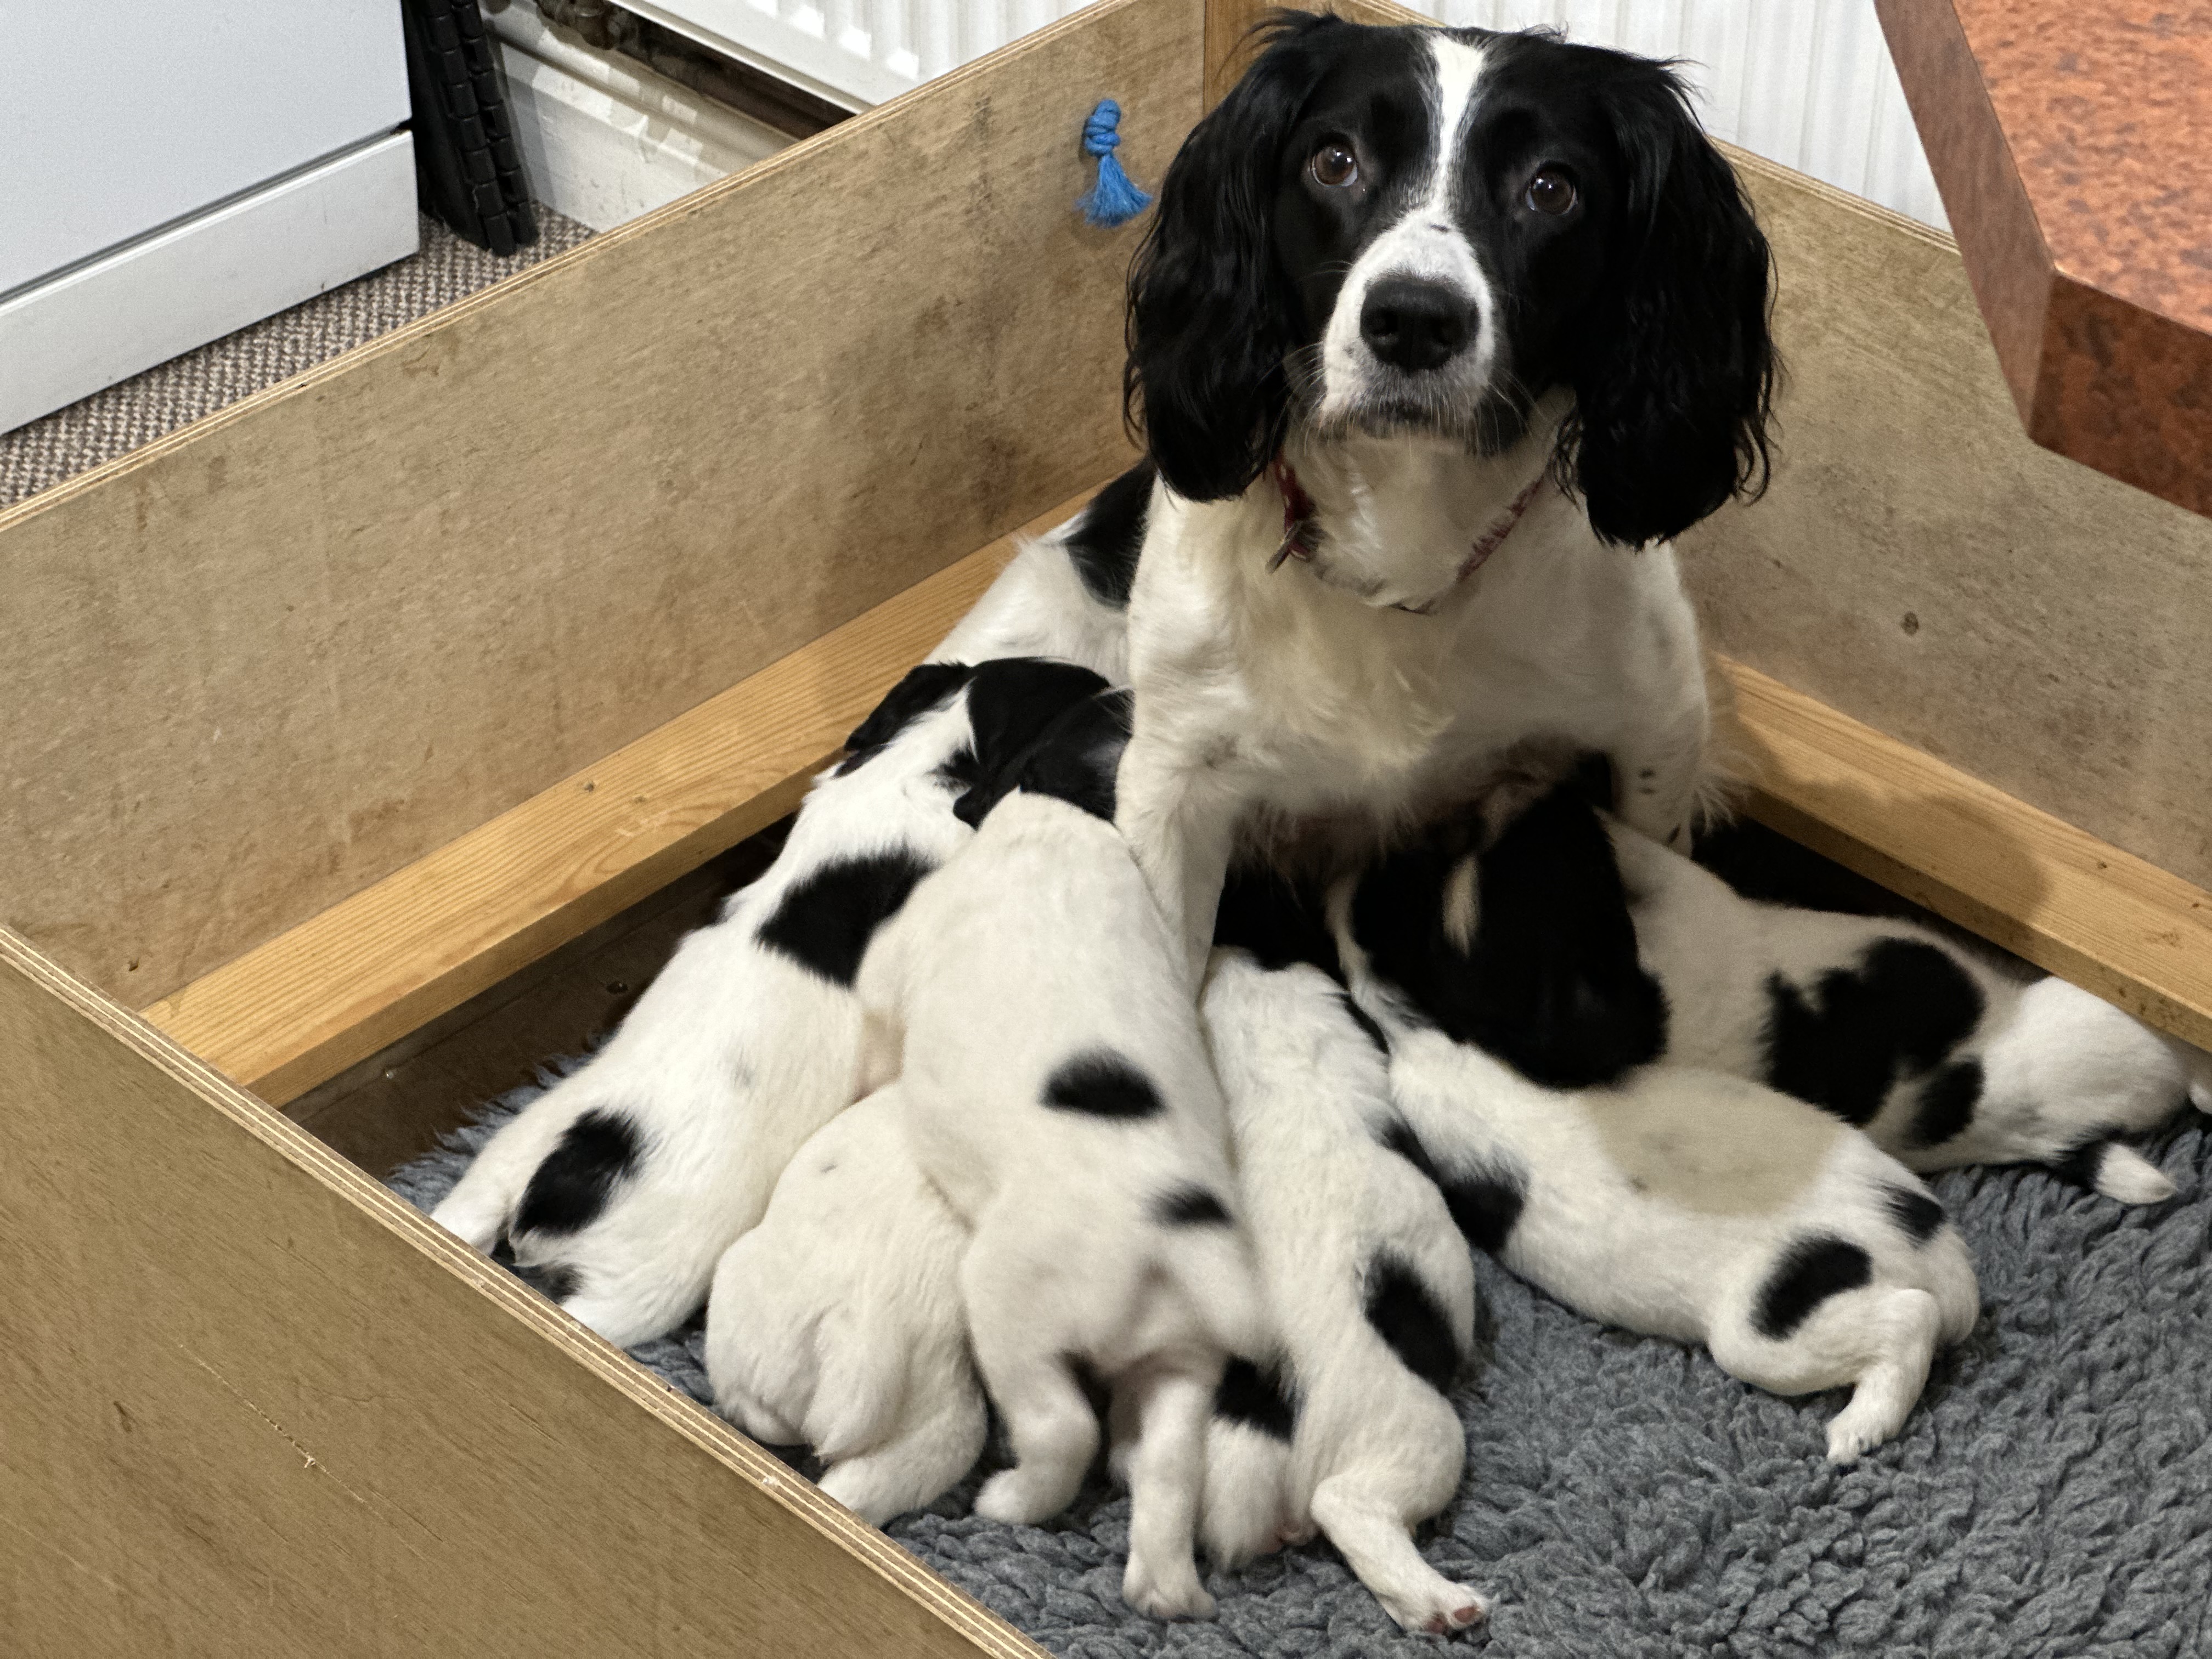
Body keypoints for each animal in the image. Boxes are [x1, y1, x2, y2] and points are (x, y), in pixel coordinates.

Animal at [858, 690, 1274, 1628]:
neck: (1071, 811)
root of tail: (1171, 1237)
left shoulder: (893, 964)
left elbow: (876, 1024)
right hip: (1181, 1361)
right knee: (1169, 1466)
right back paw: (1168, 1590)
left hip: (1011, 1310)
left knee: (1063, 1430)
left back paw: (1012, 1500)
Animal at [1115, 16, 1769, 973]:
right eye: (1334, 161)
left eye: (1552, 188)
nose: (1415, 321)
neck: (1406, 532)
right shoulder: (1173, 771)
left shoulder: (1660, 727)